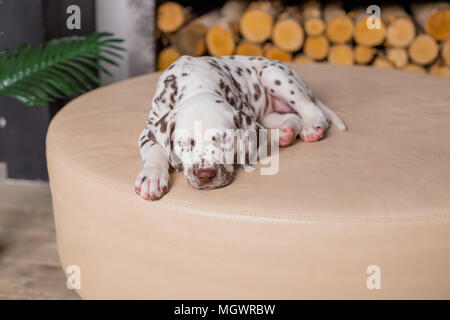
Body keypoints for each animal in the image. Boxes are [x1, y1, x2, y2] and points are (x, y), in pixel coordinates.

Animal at [135, 55, 346, 200]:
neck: (195, 84)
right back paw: (287, 133)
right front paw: (152, 177)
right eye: (184, 143)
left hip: (274, 75)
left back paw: (312, 128)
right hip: (268, 114)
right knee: (293, 116)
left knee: (309, 108)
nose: (205, 175)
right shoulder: (150, 127)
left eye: (226, 139)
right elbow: (154, 148)